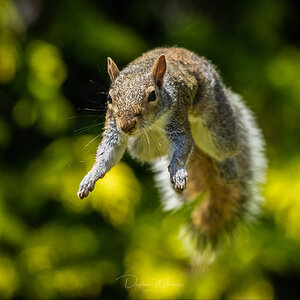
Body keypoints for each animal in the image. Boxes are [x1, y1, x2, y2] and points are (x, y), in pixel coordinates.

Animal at [77, 47, 268, 248]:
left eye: (152, 95)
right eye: (110, 97)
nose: (127, 126)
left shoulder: (177, 115)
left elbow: (183, 144)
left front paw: (178, 171)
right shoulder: (114, 126)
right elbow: (108, 151)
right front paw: (91, 176)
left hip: (217, 127)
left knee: (224, 148)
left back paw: (228, 168)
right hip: (143, 146)